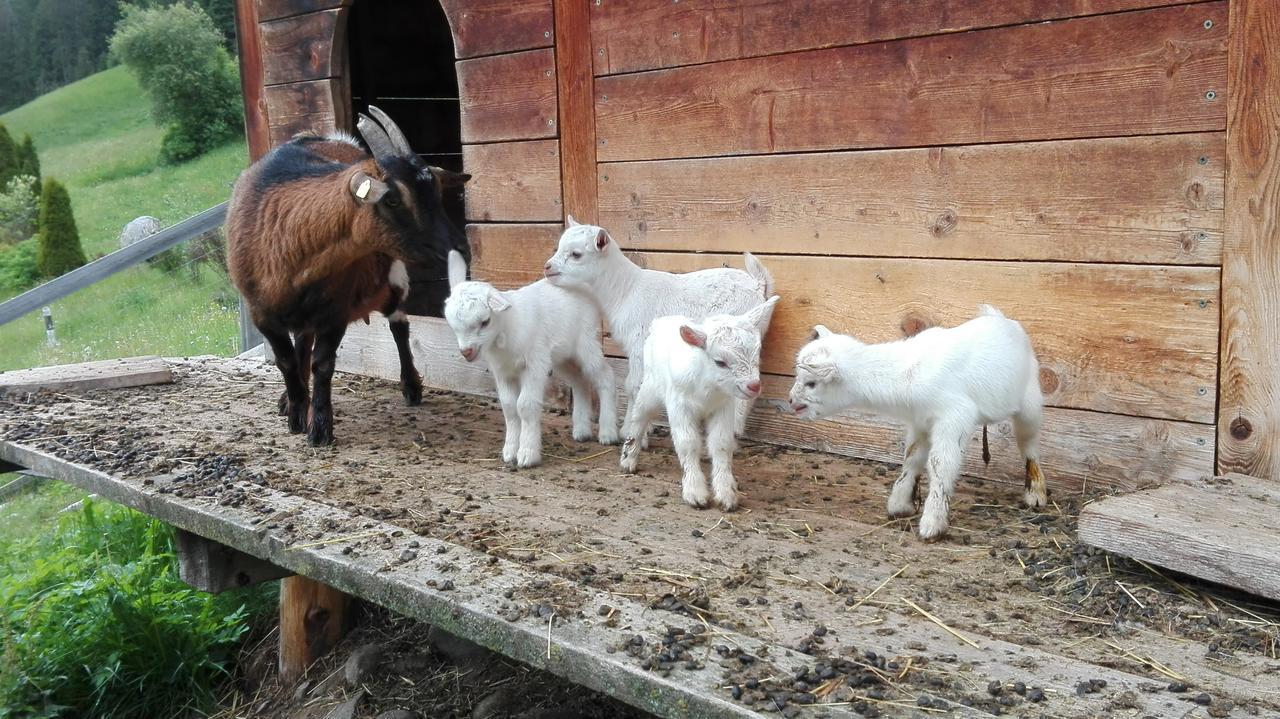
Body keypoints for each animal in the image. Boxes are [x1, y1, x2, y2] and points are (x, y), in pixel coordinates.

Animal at [229, 107, 471, 442]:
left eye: (436, 191)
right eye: (392, 199)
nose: (460, 249)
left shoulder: (335, 309)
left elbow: (323, 363)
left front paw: (319, 427)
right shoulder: (261, 313)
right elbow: (287, 360)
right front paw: (296, 412)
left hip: (393, 276)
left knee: (399, 325)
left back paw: (411, 386)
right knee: (302, 341)